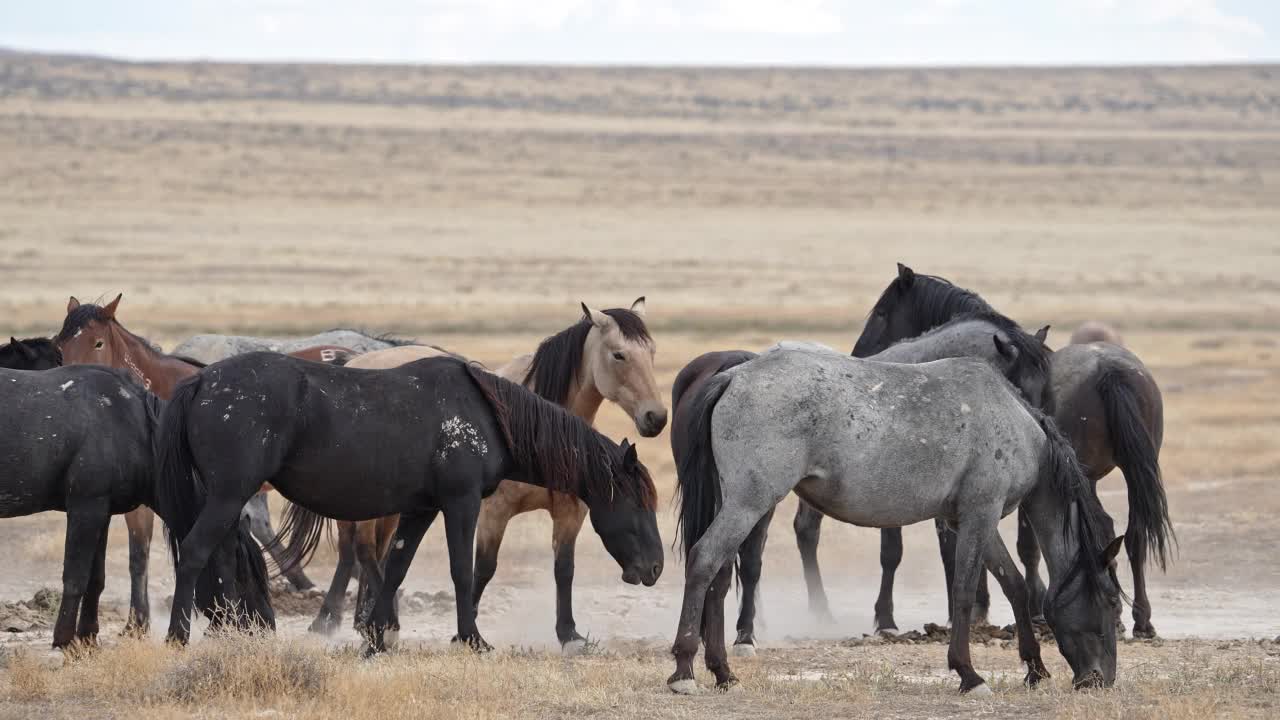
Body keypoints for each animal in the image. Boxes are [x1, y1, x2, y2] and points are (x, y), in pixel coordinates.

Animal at [0, 361, 267, 648]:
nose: (264, 629)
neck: (130, 425)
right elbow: (75, 577)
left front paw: (88, 639)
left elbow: (96, 579)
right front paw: (64, 640)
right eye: (244, 573)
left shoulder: (101, 511)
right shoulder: (85, 507)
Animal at [154, 351, 665, 648]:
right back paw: (179, 636)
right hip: (228, 495)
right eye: (639, 505)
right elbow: (463, 571)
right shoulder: (461, 503)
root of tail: (202, 383)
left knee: (219, 558)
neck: (485, 414)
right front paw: (471, 638)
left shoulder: (421, 508)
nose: (656, 568)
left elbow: (396, 567)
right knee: (195, 554)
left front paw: (378, 637)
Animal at [304, 297, 665, 650]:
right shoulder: (493, 512)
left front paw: (569, 634)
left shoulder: (569, 514)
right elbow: (484, 569)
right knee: (364, 550)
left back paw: (367, 621)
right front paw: (465, 632)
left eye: (652, 352)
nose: (656, 417)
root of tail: (359, 360)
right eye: (619, 354)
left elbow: (564, 570)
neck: (532, 424)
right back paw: (369, 622)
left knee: (379, 552)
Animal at [670, 345, 1121, 691]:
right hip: (748, 504)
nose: (1101, 680)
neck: (1019, 427)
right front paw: (969, 674)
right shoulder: (980, 515)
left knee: (719, 577)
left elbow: (1015, 586)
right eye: (1112, 603)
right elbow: (963, 592)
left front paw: (1035, 669)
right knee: (704, 561)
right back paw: (684, 672)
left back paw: (722, 672)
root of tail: (733, 377)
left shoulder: (975, 520)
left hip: (738, 505)